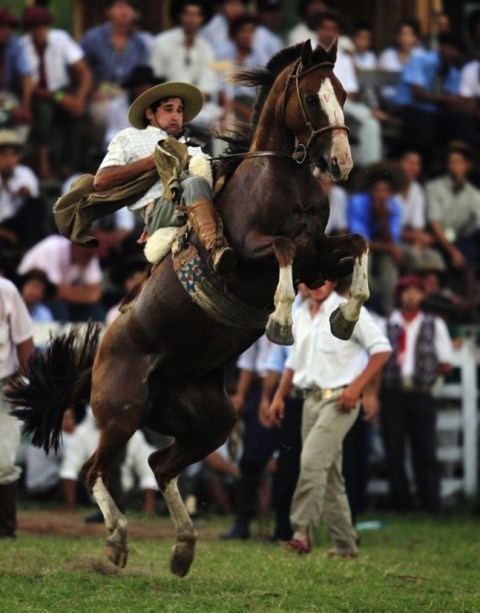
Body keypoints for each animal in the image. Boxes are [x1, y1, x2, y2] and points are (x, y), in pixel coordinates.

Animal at [6, 40, 368, 576]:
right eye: (309, 96)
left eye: (341, 94)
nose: (340, 161)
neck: (281, 176)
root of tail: (98, 357)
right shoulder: (254, 251)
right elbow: (280, 249)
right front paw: (281, 320)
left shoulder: (317, 256)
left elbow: (357, 243)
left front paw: (345, 317)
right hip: (122, 411)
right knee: (95, 471)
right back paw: (118, 541)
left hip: (210, 421)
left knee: (160, 466)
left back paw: (183, 547)